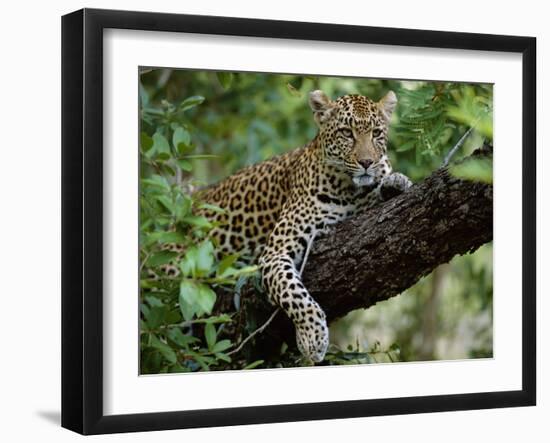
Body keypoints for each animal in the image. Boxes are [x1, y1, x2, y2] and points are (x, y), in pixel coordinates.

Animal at [157, 90, 412, 364]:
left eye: (376, 133)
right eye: (346, 132)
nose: (367, 162)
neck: (350, 190)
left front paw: (395, 182)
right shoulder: (275, 253)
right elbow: (294, 294)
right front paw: (312, 338)